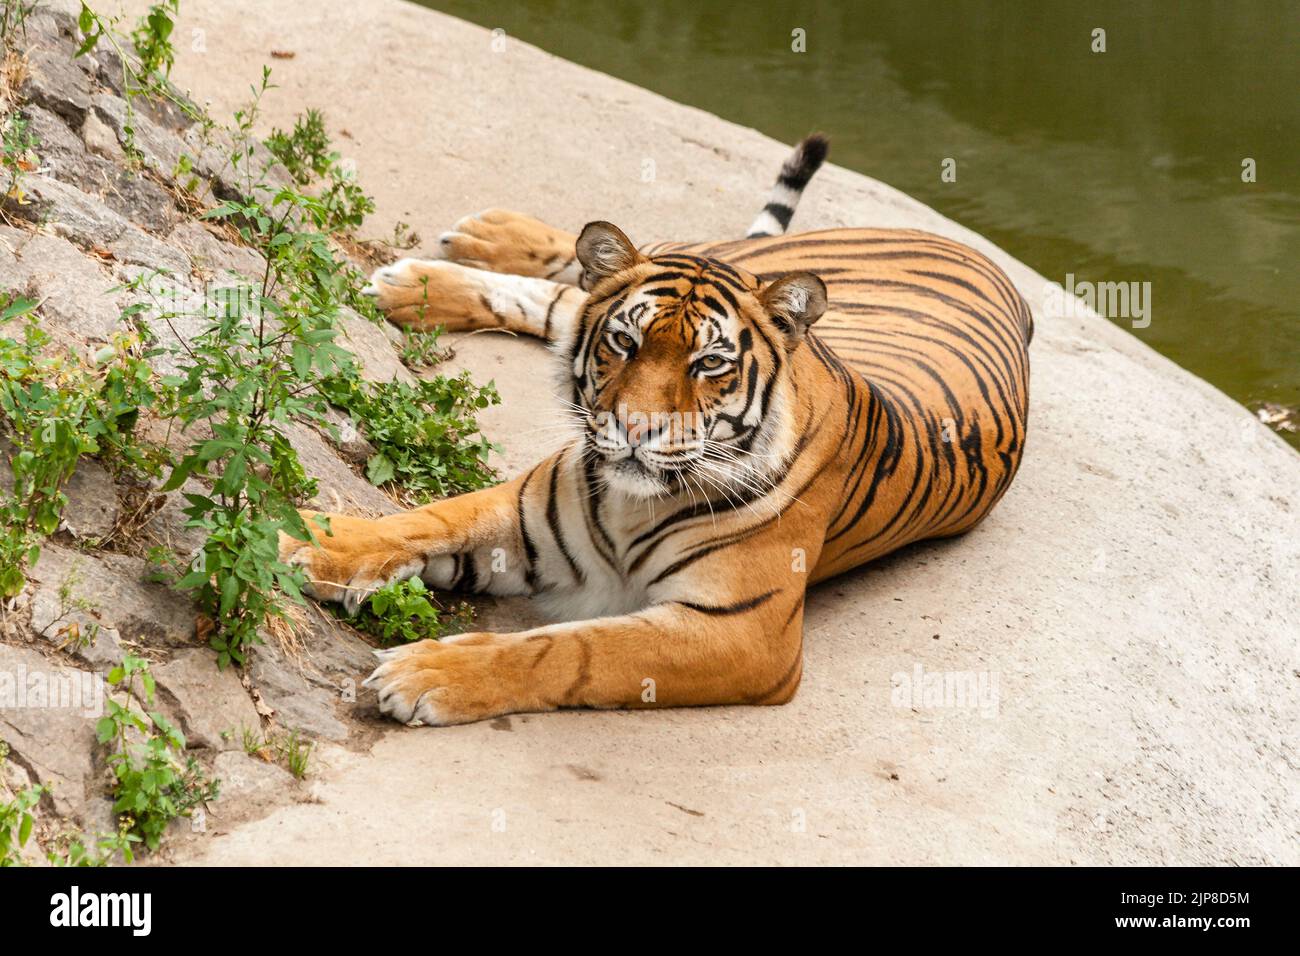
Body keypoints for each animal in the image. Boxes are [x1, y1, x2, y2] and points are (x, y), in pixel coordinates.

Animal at [279, 136, 1033, 727]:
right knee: (582, 273)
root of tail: (974, 250)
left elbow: (574, 650)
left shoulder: (740, 633)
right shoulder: (522, 508)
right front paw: (301, 542)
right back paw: (462, 250)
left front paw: (426, 675)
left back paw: (431, 269)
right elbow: (423, 521)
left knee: (567, 293)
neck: (631, 502)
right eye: (624, 342)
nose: (637, 428)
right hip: (695, 253)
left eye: (709, 364)